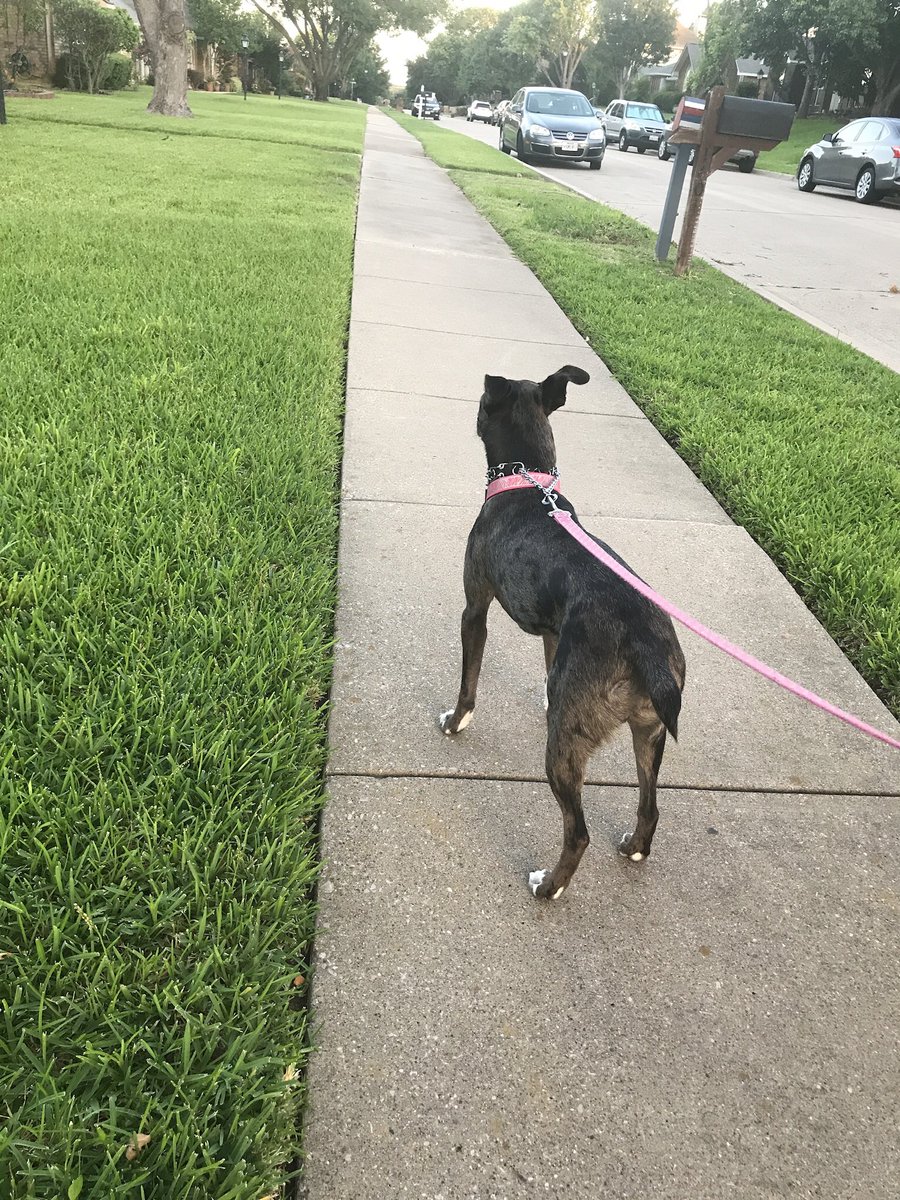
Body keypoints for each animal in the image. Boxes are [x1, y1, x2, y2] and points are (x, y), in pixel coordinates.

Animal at [441, 364, 686, 902]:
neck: (525, 482)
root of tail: (645, 644)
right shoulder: (555, 633)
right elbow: (549, 663)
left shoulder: (475, 609)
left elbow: (469, 679)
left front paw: (456, 720)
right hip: (649, 731)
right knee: (651, 804)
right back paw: (634, 847)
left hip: (565, 752)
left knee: (579, 832)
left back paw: (549, 886)